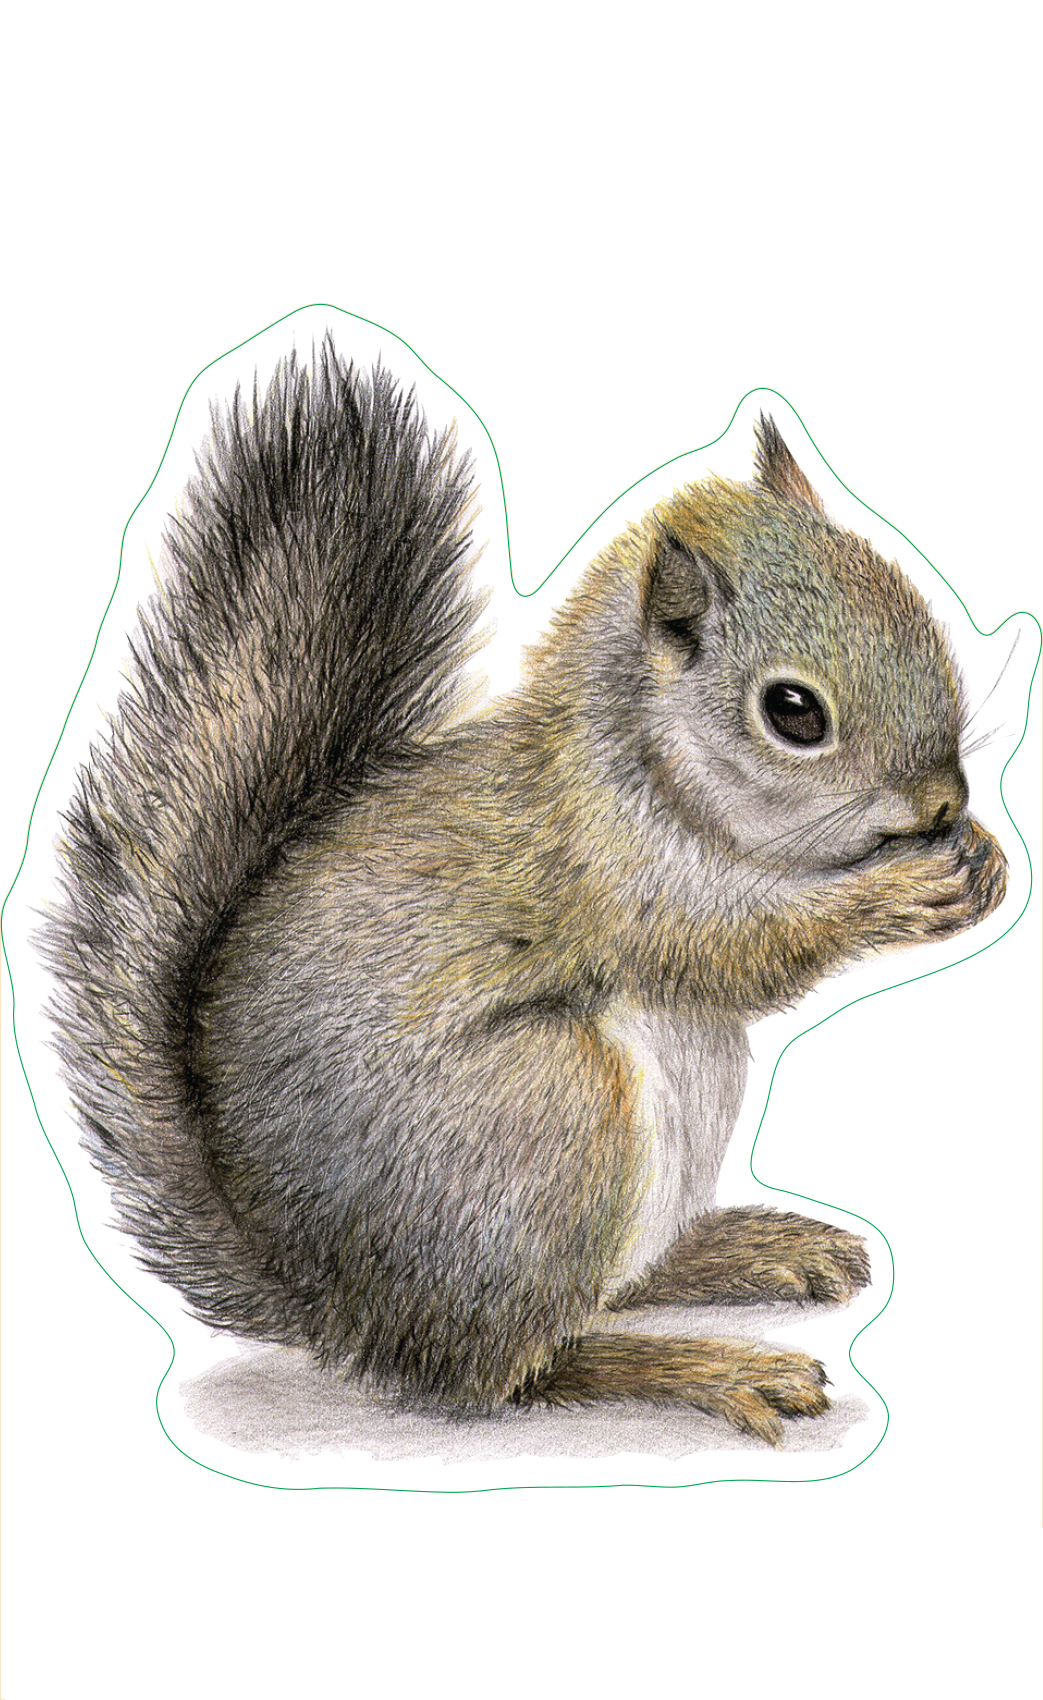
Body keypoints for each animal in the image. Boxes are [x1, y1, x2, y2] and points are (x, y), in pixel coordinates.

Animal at [44, 343, 1008, 1446]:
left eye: (916, 610)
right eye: (793, 712)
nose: (941, 801)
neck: (643, 761)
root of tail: (339, 1310)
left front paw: (983, 858)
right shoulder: (611, 870)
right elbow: (731, 946)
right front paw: (897, 892)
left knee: (608, 1290)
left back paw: (744, 1251)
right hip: (548, 1118)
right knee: (514, 1370)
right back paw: (702, 1366)